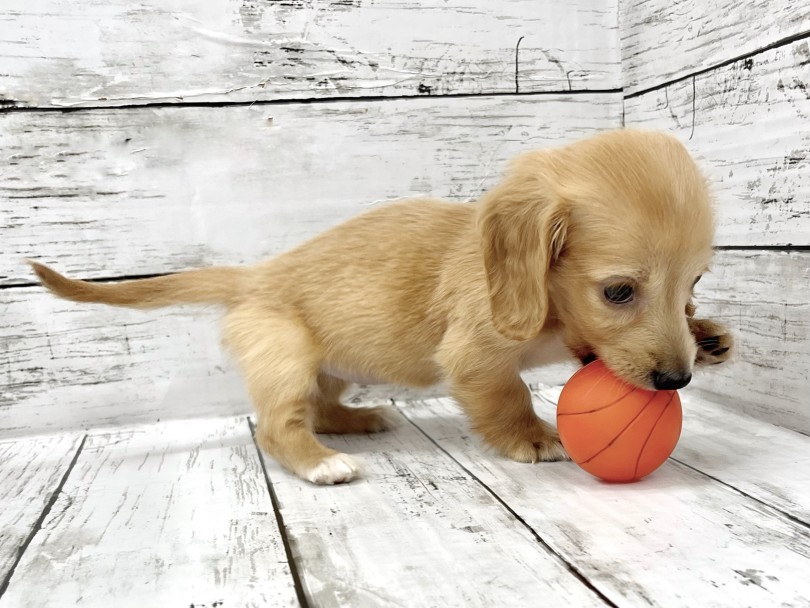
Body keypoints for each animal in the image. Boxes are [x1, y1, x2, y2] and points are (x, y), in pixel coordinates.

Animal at [31, 128, 732, 484]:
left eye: (694, 281)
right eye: (618, 291)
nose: (677, 380)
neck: (550, 310)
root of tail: (257, 275)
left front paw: (710, 335)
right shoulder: (475, 354)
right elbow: (507, 394)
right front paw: (532, 438)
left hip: (328, 367)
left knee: (320, 405)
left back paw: (358, 420)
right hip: (285, 356)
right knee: (278, 425)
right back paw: (319, 463)